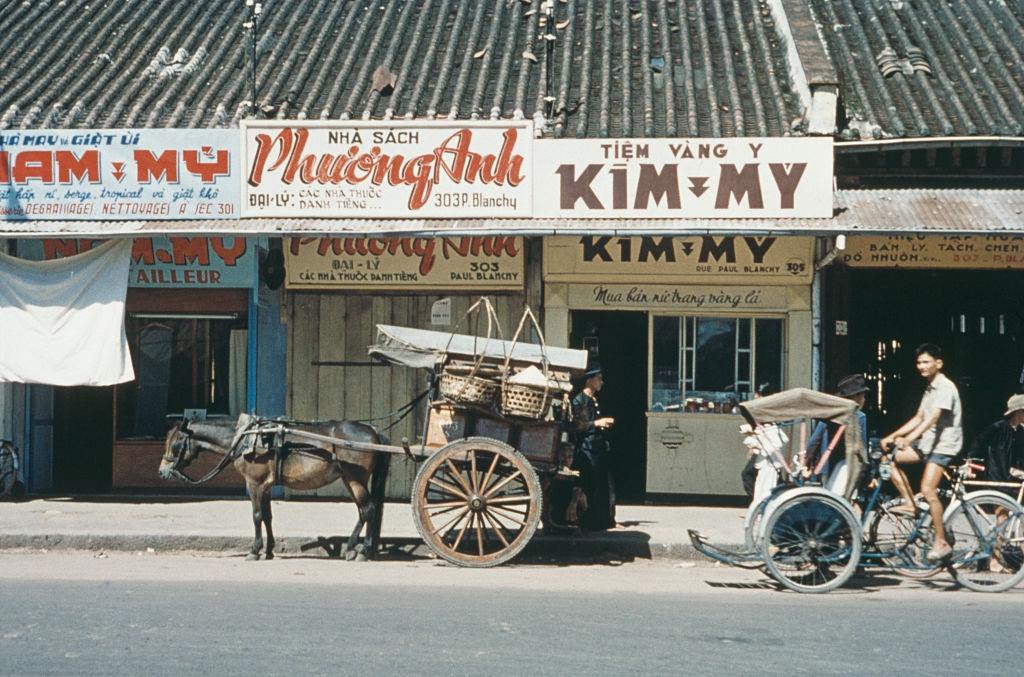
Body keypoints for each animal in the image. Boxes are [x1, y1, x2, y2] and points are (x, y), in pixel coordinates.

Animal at [159, 411, 391, 561]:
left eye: (176, 443)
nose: (162, 471)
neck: (244, 439)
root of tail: (373, 431)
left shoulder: (254, 483)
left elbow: (257, 516)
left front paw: (254, 550)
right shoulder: (266, 485)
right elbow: (268, 516)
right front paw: (269, 550)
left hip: (355, 478)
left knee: (368, 509)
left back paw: (361, 550)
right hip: (349, 479)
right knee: (364, 511)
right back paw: (355, 548)